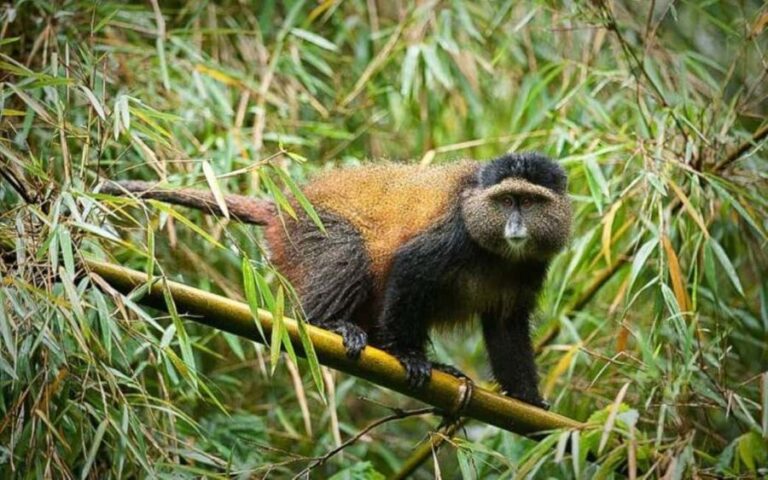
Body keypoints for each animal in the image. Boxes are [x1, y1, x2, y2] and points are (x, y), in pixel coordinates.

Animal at [102, 153, 571, 408]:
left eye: (529, 202)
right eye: (507, 200)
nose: (515, 226)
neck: (498, 251)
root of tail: (284, 207)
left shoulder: (532, 267)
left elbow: (507, 326)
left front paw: (530, 402)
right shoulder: (453, 234)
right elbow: (410, 268)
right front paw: (409, 356)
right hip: (312, 233)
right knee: (348, 252)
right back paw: (328, 324)